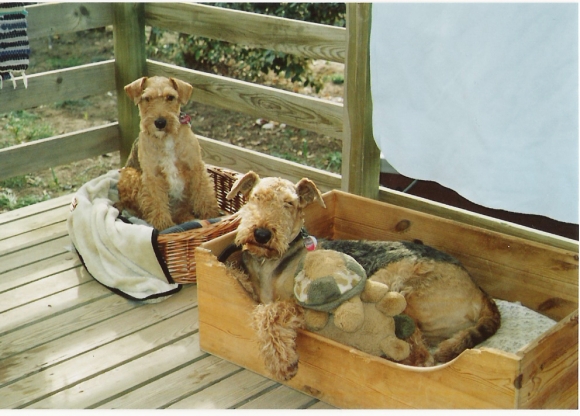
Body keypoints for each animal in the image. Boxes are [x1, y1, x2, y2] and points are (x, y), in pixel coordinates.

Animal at [116, 75, 221, 231]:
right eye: (147, 98)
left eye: (170, 97)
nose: (160, 123)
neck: (166, 139)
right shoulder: (153, 176)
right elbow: (158, 203)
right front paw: (164, 226)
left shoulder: (195, 167)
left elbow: (204, 195)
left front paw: (211, 216)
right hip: (130, 174)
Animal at [220, 171, 500, 382]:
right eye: (255, 197)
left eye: (289, 203)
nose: (262, 234)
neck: (272, 261)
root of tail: (480, 291)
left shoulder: (302, 305)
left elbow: (270, 313)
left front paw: (282, 362)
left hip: (404, 290)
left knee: (422, 356)